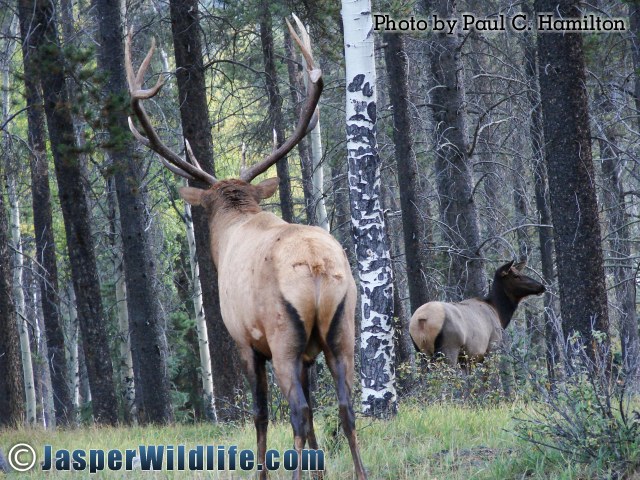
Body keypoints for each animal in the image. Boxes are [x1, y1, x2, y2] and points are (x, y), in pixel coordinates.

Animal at [125, 17, 367, 480]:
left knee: (298, 412)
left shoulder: (244, 341)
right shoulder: (308, 354)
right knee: (346, 410)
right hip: (342, 331)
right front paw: (319, 471)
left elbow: (259, 414)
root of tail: (317, 268)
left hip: (283, 337)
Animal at [409, 261, 545, 369]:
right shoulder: (490, 348)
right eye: (516, 275)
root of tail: (422, 319)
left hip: (421, 352)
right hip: (449, 348)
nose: (542, 286)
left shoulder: (466, 359)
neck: (499, 313)